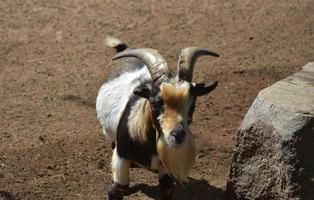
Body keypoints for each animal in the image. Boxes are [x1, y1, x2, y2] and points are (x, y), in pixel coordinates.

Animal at [95, 36, 218, 200]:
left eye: (192, 104)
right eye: (154, 102)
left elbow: (167, 189)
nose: (177, 135)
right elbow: (118, 188)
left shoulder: (164, 167)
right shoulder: (121, 157)